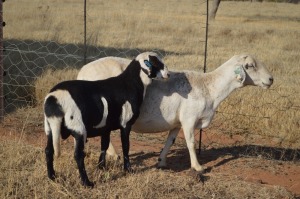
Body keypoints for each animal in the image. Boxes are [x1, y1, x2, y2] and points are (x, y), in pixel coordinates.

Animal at [44, 51, 171, 187]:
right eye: (156, 62)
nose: (168, 74)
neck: (130, 83)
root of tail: (54, 99)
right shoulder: (125, 123)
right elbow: (126, 146)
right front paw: (128, 169)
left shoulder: (105, 127)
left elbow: (104, 145)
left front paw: (101, 167)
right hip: (78, 127)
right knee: (78, 155)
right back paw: (87, 183)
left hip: (50, 128)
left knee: (48, 151)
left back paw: (52, 177)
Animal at [77, 54, 274, 174]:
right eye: (250, 65)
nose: (271, 79)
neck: (210, 87)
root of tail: (81, 73)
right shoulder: (189, 119)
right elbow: (191, 143)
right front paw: (198, 167)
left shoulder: (177, 123)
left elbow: (170, 141)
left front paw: (161, 161)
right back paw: (113, 155)